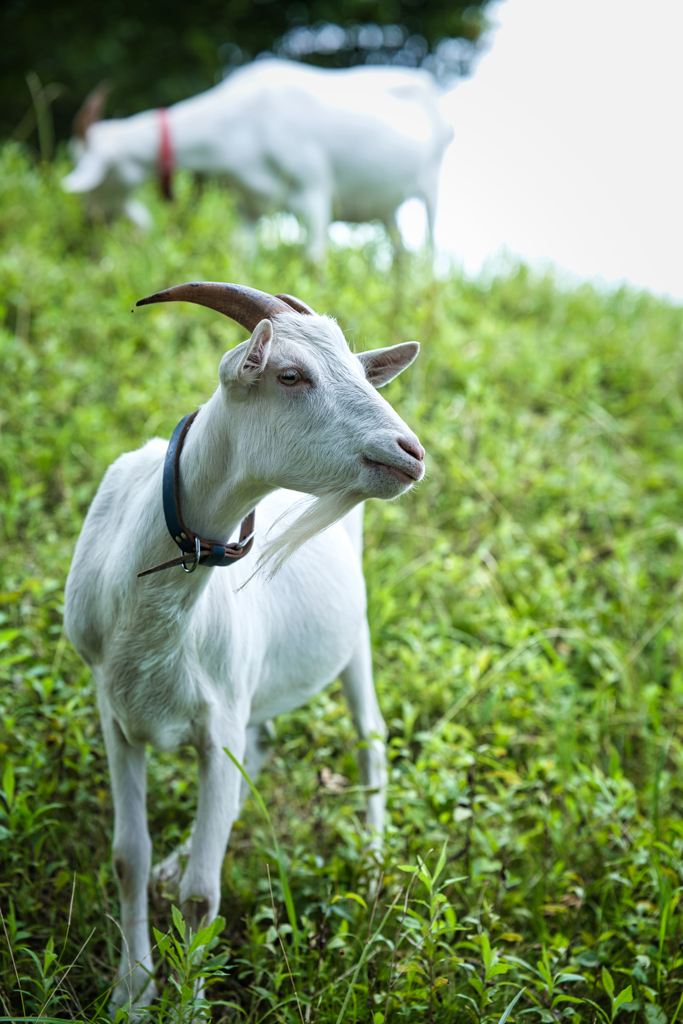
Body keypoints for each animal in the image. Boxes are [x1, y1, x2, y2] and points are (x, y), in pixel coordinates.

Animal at [60, 59, 454, 258]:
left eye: (97, 179)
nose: (91, 221)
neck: (242, 121)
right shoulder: (246, 206)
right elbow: (243, 258)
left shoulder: (315, 191)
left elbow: (315, 259)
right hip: (387, 210)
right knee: (401, 255)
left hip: (432, 186)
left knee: (431, 251)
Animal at [63, 280, 428, 1007]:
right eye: (291, 375)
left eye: (357, 368)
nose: (410, 451)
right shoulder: (113, 710)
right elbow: (127, 858)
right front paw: (132, 992)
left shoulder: (219, 719)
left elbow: (203, 896)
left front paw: (187, 1003)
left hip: (353, 639)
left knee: (370, 734)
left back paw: (374, 863)